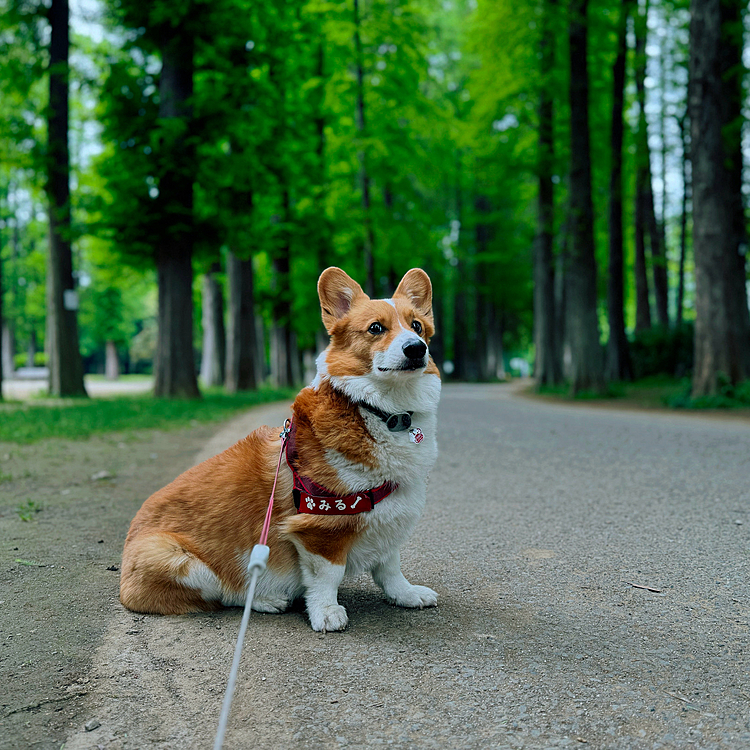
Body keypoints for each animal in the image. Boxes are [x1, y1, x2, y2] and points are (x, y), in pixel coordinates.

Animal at [120, 268, 444, 632]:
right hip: (188, 564)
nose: (416, 349)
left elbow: (390, 567)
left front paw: (407, 595)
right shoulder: (320, 529)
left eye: (417, 326)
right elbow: (328, 576)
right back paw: (266, 598)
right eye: (376, 328)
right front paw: (326, 613)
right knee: (226, 593)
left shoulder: (390, 520)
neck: (382, 413)